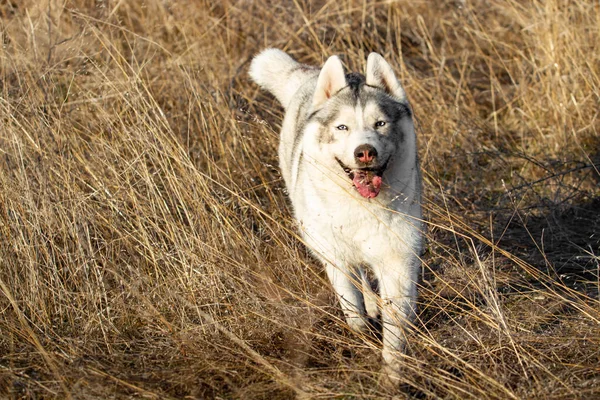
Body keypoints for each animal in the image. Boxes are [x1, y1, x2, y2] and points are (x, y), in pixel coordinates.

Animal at [251, 49, 424, 378]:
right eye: (342, 127)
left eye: (380, 123)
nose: (365, 151)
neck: (360, 205)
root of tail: (309, 76)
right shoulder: (334, 256)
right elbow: (353, 311)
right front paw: (362, 341)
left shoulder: (398, 259)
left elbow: (395, 326)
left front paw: (392, 375)